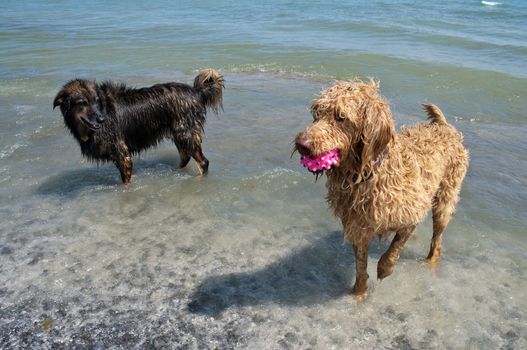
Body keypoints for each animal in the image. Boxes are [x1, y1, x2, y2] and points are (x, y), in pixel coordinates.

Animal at [54, 68, 225, 183]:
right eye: (82, 103)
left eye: (96, 100)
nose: (102, 119)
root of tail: (196, 91)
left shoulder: (122, 153)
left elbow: (125, 182)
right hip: (179, 134)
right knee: (185, 157)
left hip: (186, 133)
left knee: (203, 162)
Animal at [292, 80, 470, 300]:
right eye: (316, 114)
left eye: (341, 116)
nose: (301, 144)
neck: (366, 173)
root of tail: (443, 125)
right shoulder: (357, 226)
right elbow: (360, 266)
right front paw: (359, 294)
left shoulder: (412, 213)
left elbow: (395, 247)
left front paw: (384, 269)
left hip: (445, 199)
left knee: (437, 238)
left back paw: (431, 261)